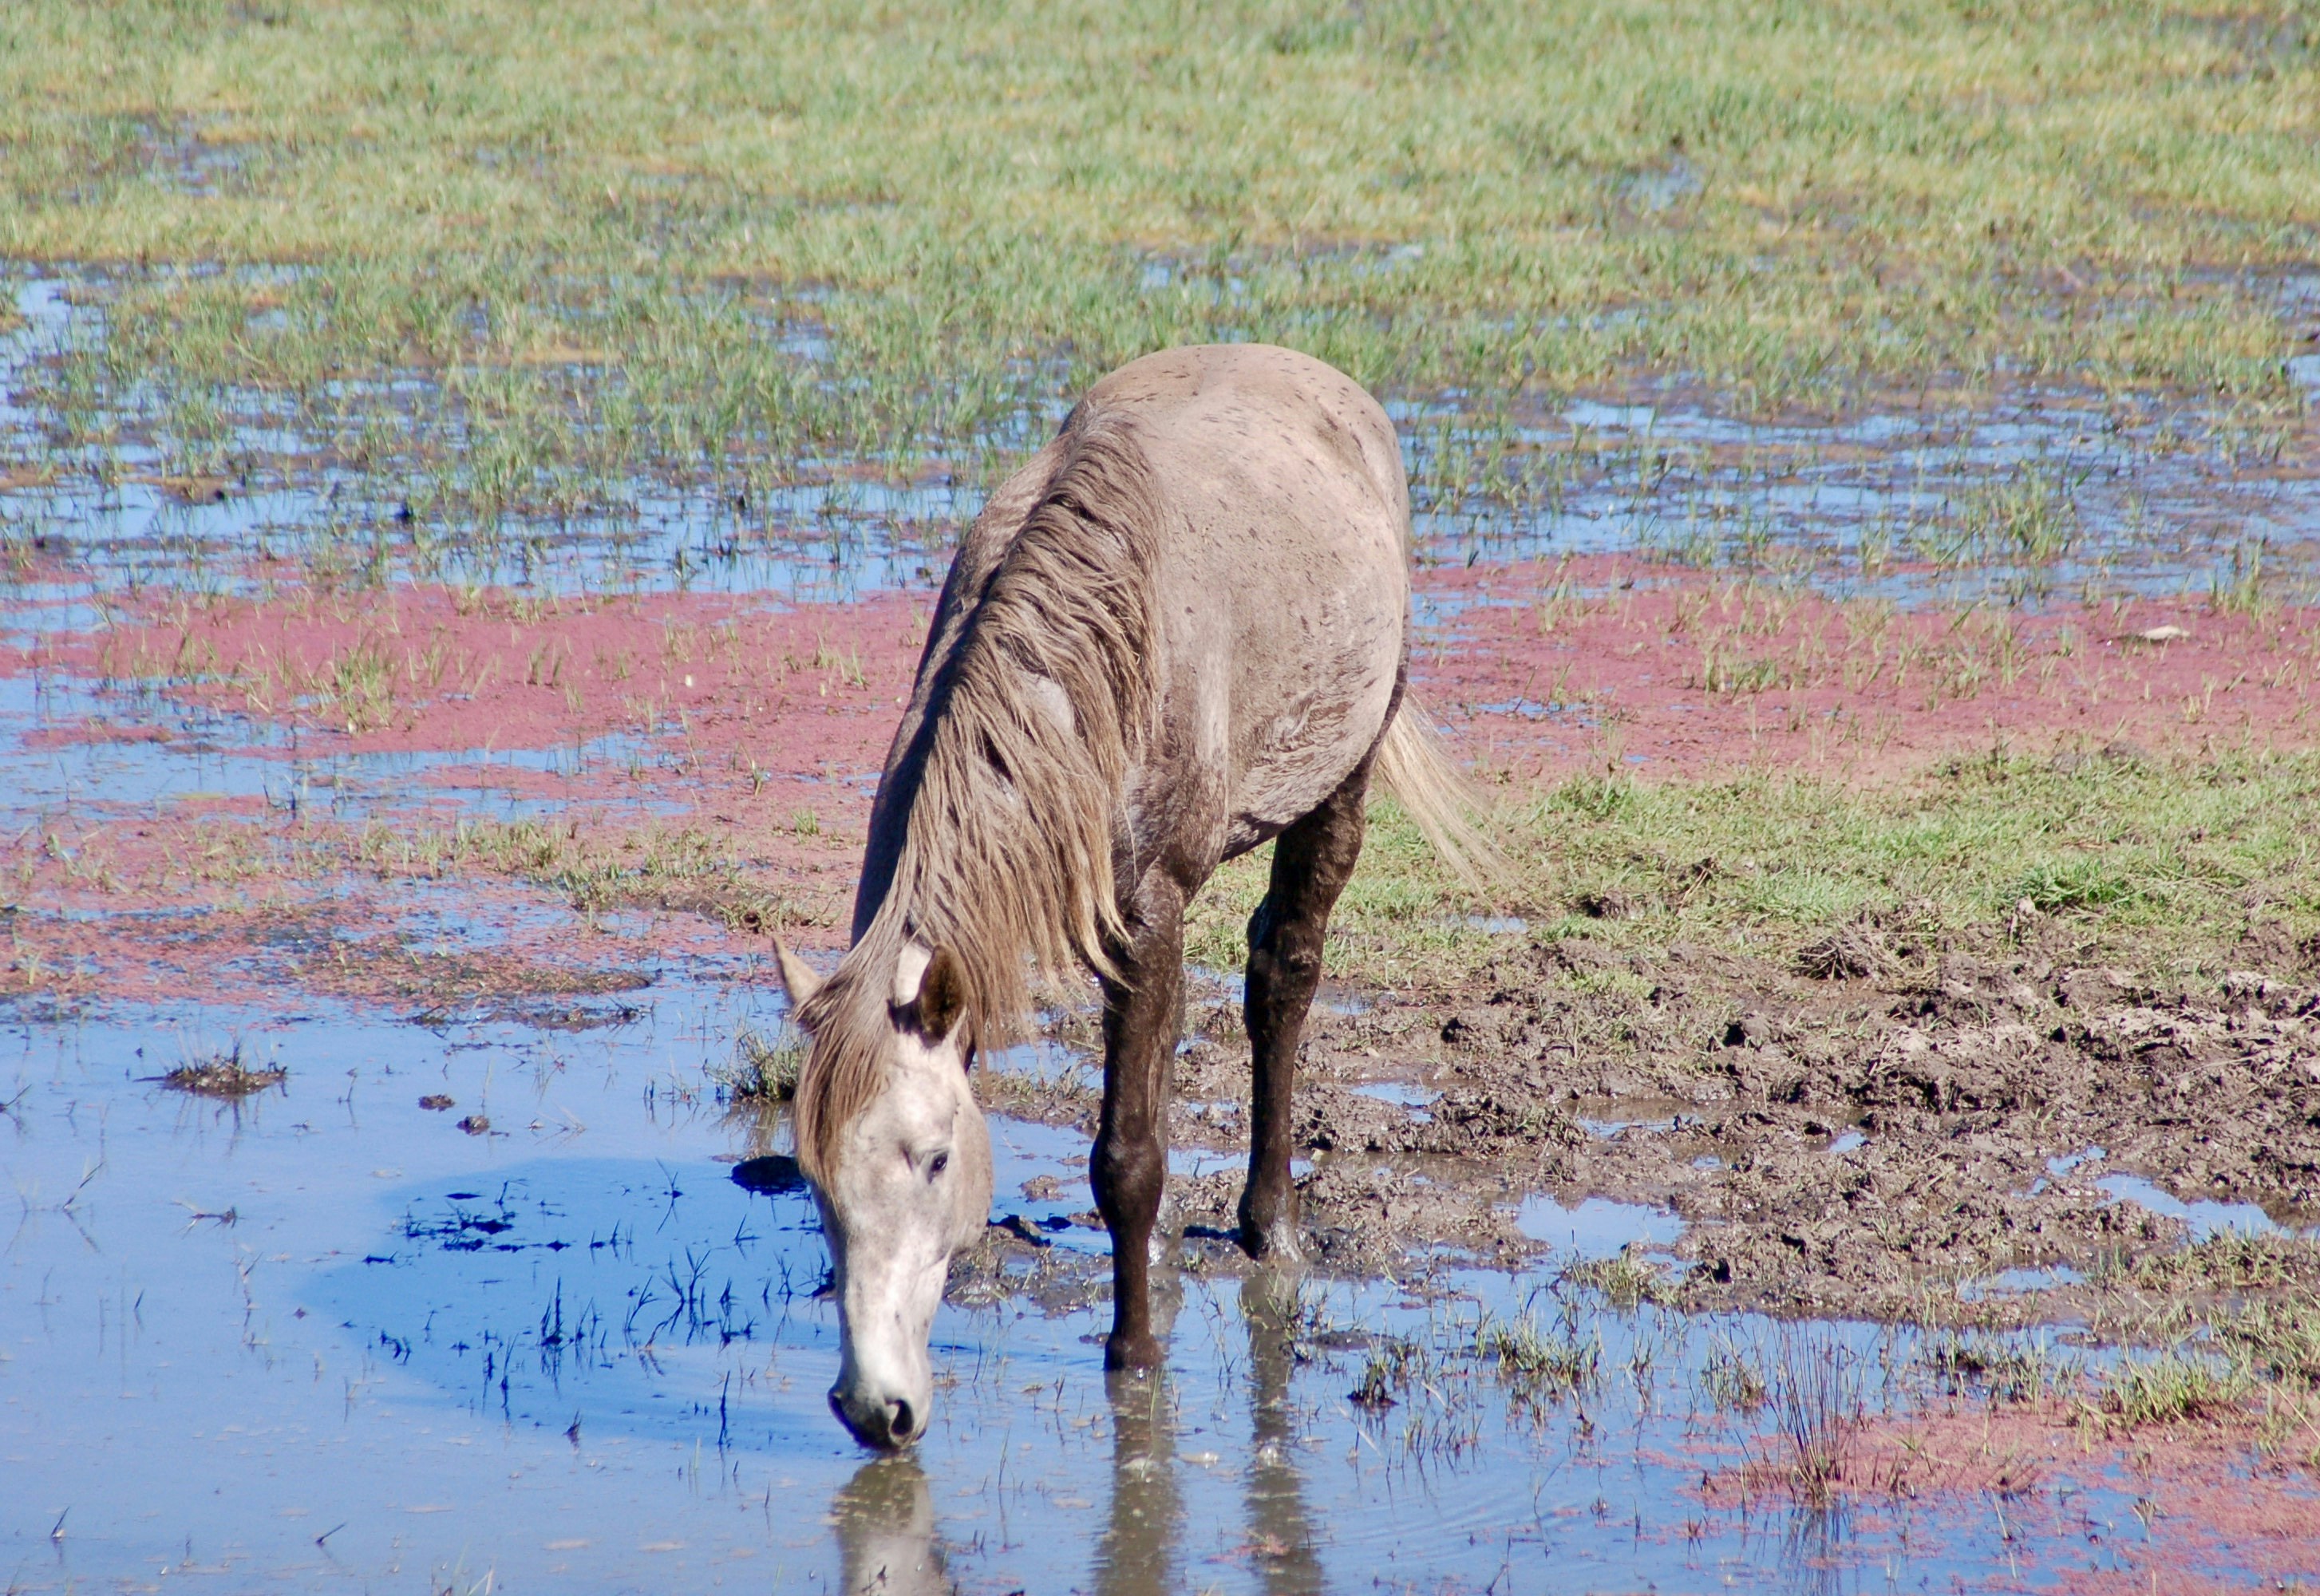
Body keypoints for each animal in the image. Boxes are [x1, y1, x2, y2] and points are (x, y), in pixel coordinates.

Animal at [774, 342, 1489, 1449]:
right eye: (813, 1178)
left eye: (934, 1159)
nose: (872, 1406)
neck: (1077, 686)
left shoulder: (1148, 914)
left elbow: (1128, 1156)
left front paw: (1137, 1358)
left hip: (1342, 780)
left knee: (1284, 975)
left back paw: (1271, 1223)